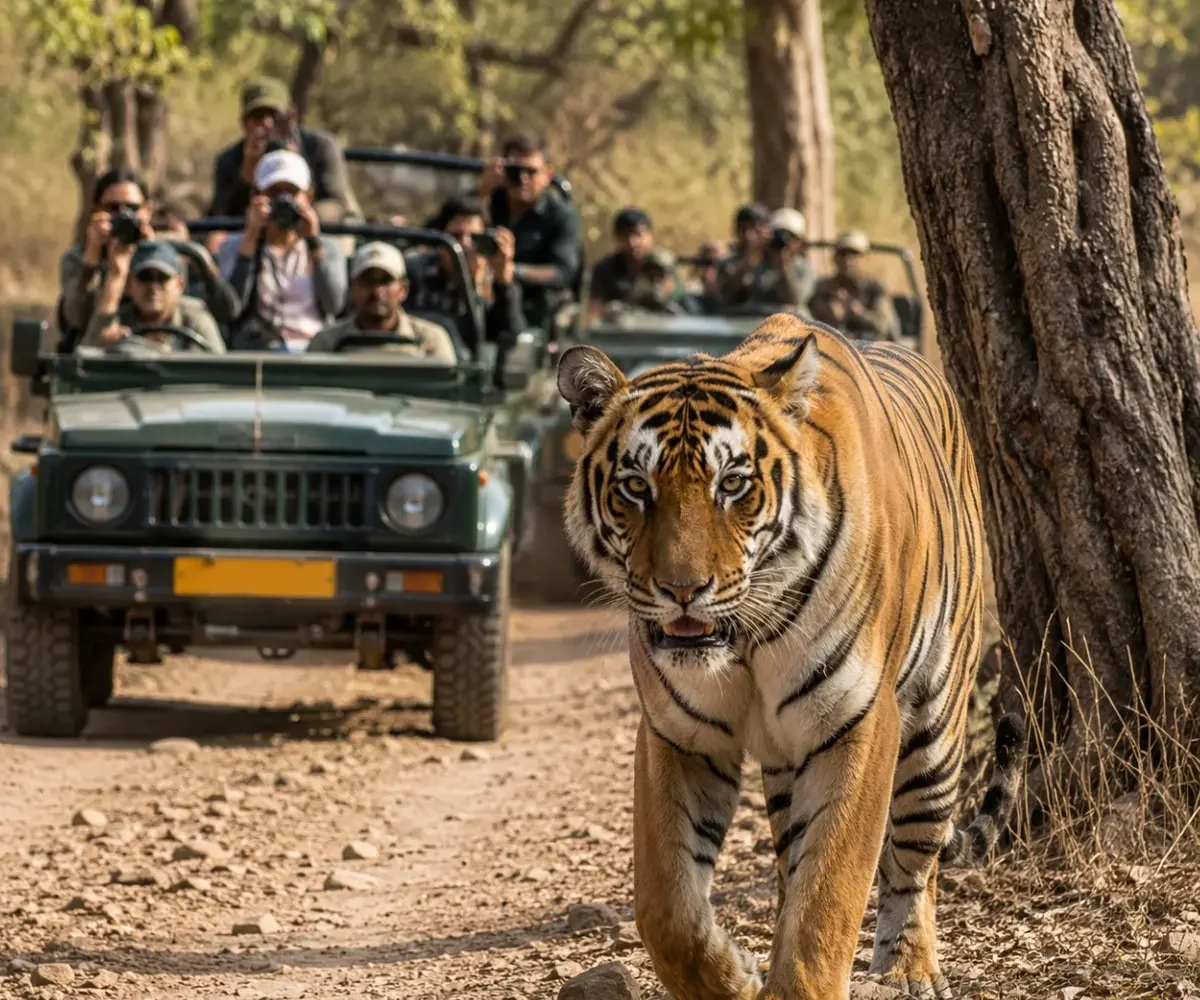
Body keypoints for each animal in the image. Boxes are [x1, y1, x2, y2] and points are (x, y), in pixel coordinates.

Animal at [556, 314, 1025, 1000]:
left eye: (733, 484)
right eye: (636, 487)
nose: (681, 590)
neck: (743, 642)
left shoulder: (860, 724)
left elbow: (828, 900)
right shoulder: (678, 733)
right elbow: (668, 909)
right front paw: (738, 976)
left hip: (936, 726)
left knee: (918, 858)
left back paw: (909, 970)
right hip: (784, 765)